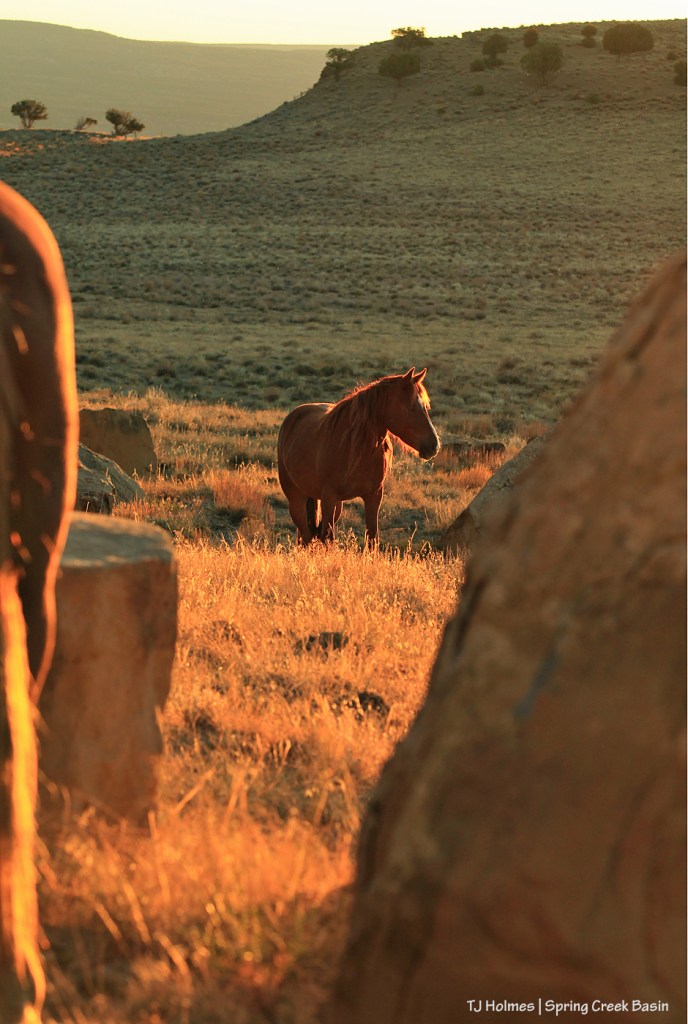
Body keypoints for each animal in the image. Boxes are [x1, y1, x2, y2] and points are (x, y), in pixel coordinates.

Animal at [277, 367, 440, 546]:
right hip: (297, 499)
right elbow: (327, 537)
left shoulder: (373, 496)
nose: (434, 445)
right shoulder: (329, 497)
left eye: (425, 407)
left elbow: (372, 539)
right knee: (306, 536)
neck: (356, 449)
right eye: (411, 407)